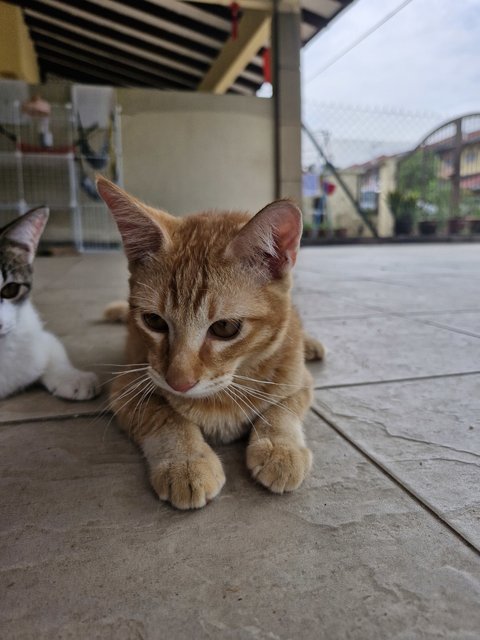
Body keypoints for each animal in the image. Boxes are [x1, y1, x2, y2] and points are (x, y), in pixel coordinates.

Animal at [97, 176, 322, 510]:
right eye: (154, 321)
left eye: (225, 328)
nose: (178, 382)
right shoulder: (127, 387)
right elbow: (165, 416)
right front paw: (186, 461)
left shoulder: (299, 380)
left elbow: (282, 407)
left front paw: (281, 448)